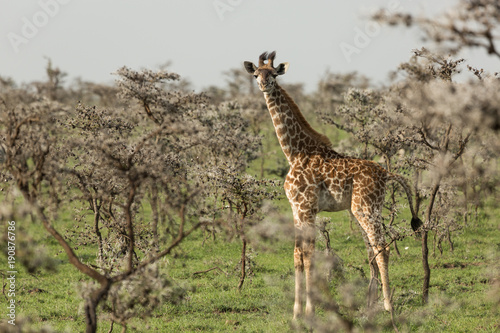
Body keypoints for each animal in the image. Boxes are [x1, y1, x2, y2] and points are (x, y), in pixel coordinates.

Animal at [243, 51, 422, 316]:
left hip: (365, 208)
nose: (265, 85)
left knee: (382, 248)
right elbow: (297, 254)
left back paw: (388, 306)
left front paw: (309, 310)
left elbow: (309, 254)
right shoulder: (296, 209)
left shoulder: (307, 207)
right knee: (372, 249)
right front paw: (296, 312)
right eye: (256, 74)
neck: (294, 152)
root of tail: (387, 173)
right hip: (364, 210)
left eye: (274, 73)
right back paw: (369, 304)